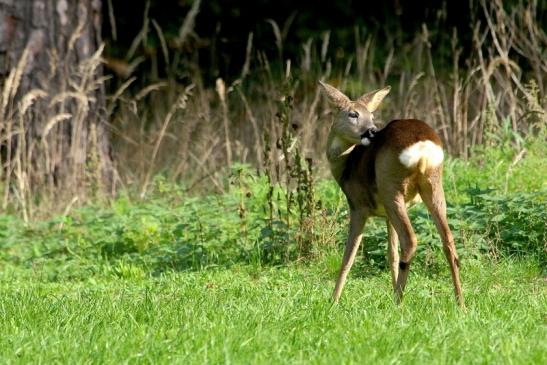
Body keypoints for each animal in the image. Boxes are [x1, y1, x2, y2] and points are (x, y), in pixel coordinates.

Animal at [318, 81, 464, 306]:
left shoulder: (358, 206)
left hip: (391, 187)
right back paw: (460, 303)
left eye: (371, 115)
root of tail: (422, 147)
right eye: (353, 114)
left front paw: (333, 300)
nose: (372, 131)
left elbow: (348, 255)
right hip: (433, 186)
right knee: (447, 240)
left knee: (410, 240)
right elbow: (391, 253)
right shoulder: (386, 214)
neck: (346, 164)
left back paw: (398, 302)